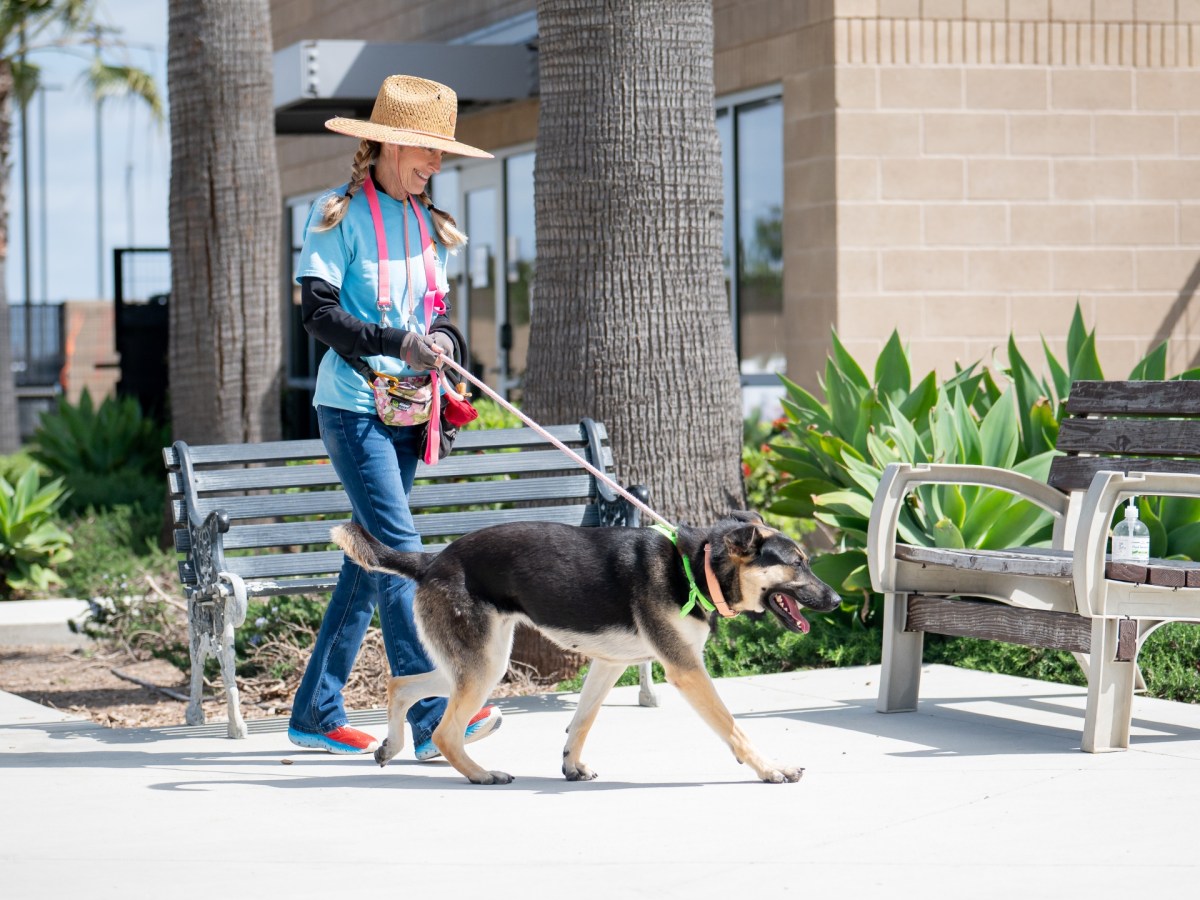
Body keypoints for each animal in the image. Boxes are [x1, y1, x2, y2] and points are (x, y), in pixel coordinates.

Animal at [333, 511, 840, 787]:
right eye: (798, 564)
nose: (837, 600)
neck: (696, 569)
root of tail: (432, 560)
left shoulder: (609, 665)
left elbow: (582, 721)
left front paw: (571, 766)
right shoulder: (686, 670)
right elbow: (735, 729)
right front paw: (771, 769)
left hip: (478, 663)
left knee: (400, 684)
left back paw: (391, 746)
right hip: (483, 667)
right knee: (443, 731)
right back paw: (480, 774)